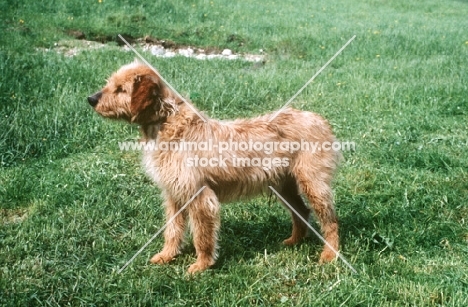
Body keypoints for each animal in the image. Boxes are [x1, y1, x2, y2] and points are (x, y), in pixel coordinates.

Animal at [88, 60, 340, 274]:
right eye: (110, 83)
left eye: (121, 89)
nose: (91, 99)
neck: (168, 123)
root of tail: (319, 119)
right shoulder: (174, 195)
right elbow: (172, 230)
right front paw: (167, 255)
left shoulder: (200, 197)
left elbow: (202, 235)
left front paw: (201, 265)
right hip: (285, 186)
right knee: (302, 212)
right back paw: (294, 241)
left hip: (312, 184)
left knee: (330, 220)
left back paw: (330, 254)